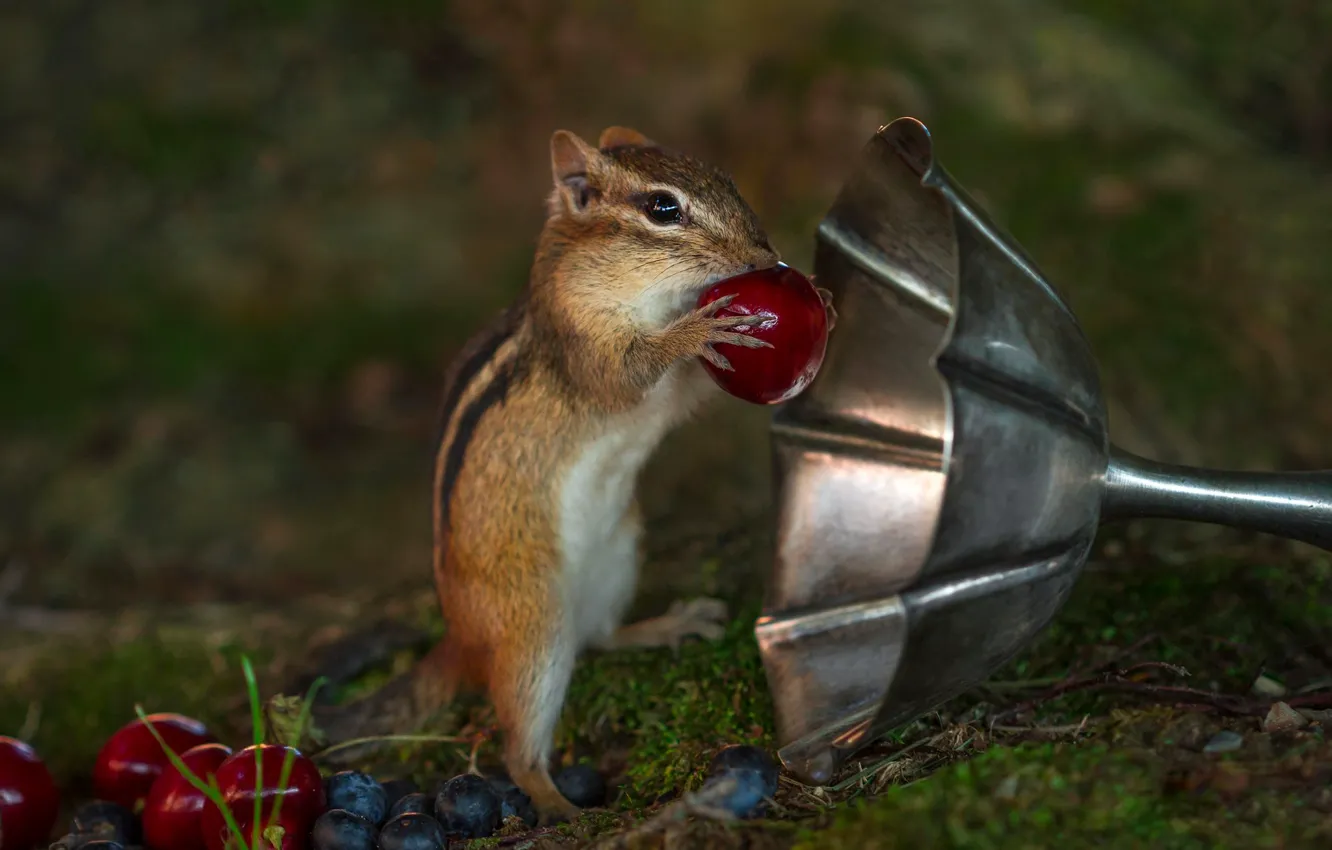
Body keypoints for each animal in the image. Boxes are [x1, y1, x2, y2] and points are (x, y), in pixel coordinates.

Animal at [310, 125, 830, 824]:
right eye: (663, 208)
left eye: (723, 177)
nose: (765, 256)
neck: (645, 293)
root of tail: (461, 636)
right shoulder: (585, 345)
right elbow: (630, 376)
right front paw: (697, 329)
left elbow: (683, 394)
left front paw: (825, 296)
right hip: (534, 628)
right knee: (518, 746)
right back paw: (560, 805)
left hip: (619, 559)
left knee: (602, 637)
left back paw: (668, 624)